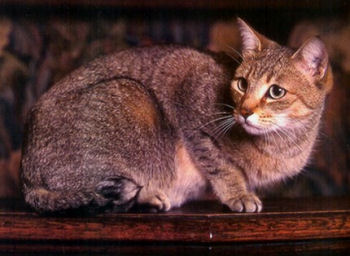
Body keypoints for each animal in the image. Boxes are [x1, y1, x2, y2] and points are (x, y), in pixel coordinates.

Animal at [20, 19, 332, 213]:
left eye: (276, 92)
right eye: (242, 84)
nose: (244, 112)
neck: (279, 145)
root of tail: (27, 179)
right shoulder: (189, 97)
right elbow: (221, 165)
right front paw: (238, 194)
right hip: (133, 96)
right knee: (106, 192)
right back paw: (150, 197)